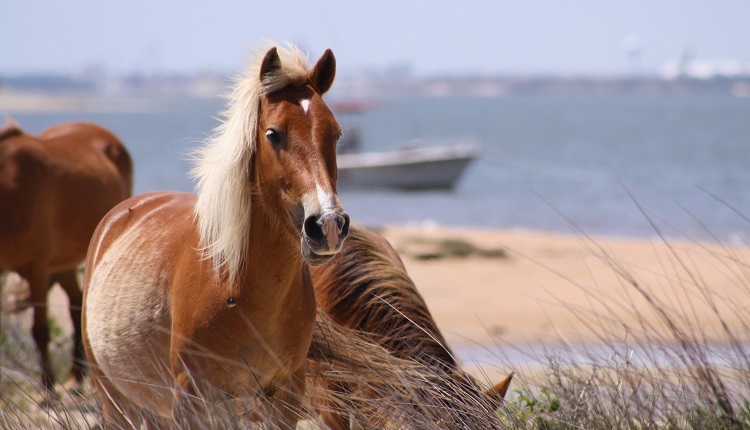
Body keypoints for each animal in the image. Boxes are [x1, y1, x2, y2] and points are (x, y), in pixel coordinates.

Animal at [0, 120, 132, 394]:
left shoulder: (37, 268)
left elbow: (40, 330)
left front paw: (48, 389)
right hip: (63, 263)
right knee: (76, 307)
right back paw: (76, 378)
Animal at [81, 44, 352, 430]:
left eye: (336, 134)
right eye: (274, 134)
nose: (327, 225)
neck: (236, 284)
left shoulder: (287, 394)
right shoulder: (192, 398)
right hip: (114, 399)